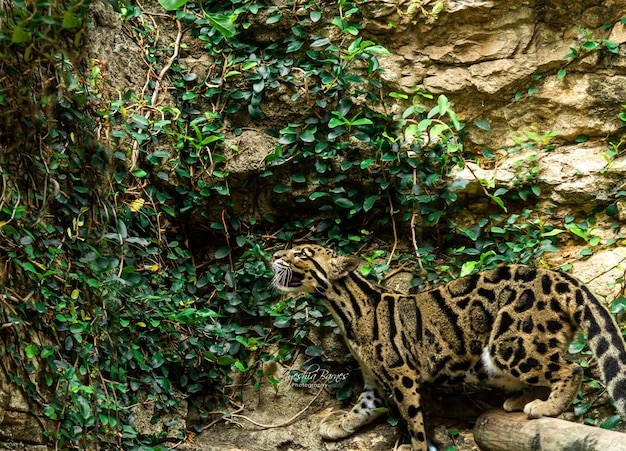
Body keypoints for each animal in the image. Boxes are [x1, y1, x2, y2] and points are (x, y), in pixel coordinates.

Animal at [270, 245, 624, 450]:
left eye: (301, 254)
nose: (273, 255)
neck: (344, 311)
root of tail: (562, 278)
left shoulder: (401, 374)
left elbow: (413, 423)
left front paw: (416, 446)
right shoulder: (373, 378)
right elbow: (363, 406)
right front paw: (340, 424)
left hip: (510, 343)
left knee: (571, 368)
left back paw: (548, 407)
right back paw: (521, 401)